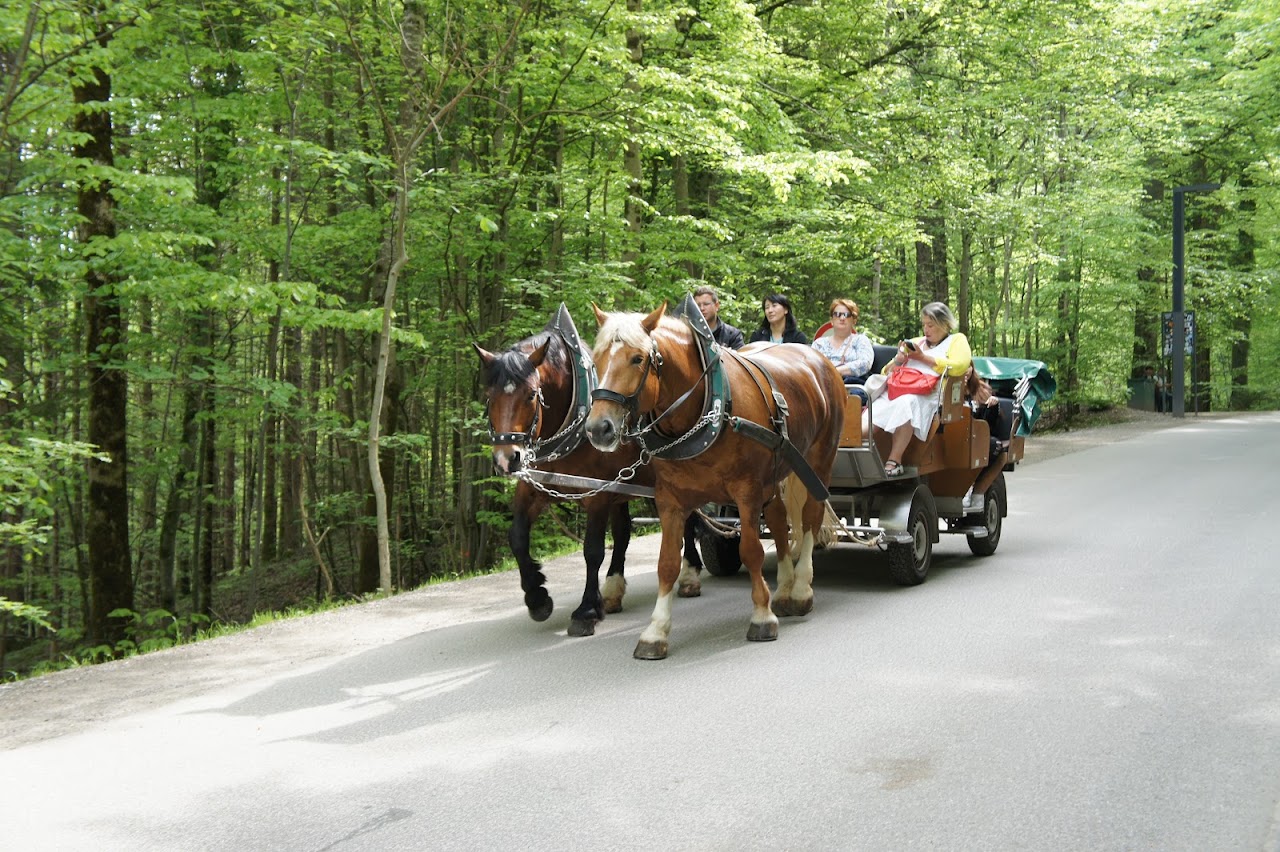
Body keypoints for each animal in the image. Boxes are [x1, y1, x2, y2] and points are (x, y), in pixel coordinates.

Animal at [476, 303, 706, 629]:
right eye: (489, 398)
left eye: (531, 395)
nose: (506, 459)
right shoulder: (537, 486)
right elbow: (517, 537)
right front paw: (537, 597)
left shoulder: (598, 492)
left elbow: (592, 549)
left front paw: (586, 610)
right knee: (624, 532)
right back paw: (612, 589)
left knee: (685, 519)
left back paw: (689, 574)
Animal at [586, 298, 844, 654]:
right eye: (596, 358)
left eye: (637, 358)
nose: (599, 428)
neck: (706, 408)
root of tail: (818, 359)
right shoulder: (671, 499)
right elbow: (667, 563)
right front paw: (655, 631)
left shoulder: (746, 491)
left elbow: (751, 550)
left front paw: (761, 616)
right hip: (776, 471)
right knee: (779, 520)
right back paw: (783, 590)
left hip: (819, 460)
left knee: (809, 518)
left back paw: (802, 588)